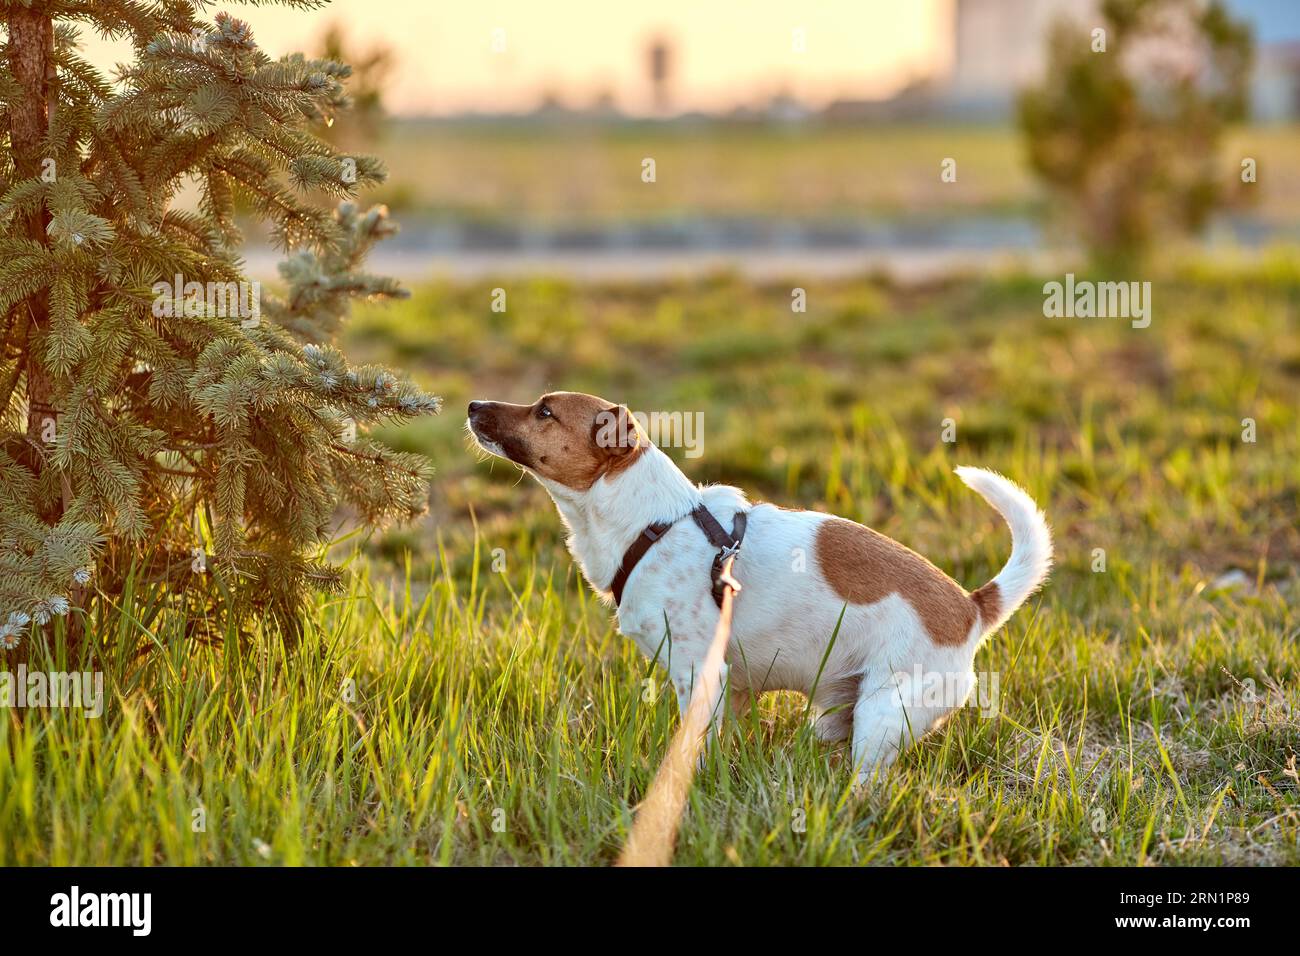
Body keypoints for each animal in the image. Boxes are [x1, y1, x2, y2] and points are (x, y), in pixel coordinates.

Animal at [462, 390, 1050, 785]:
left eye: (544, 411)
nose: (472, 404)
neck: (653, 525)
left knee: (869, 783)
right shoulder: (735, 688)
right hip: (835, 714)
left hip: (883, 714)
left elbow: (692, 748)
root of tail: (970, 607)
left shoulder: (699, 673)